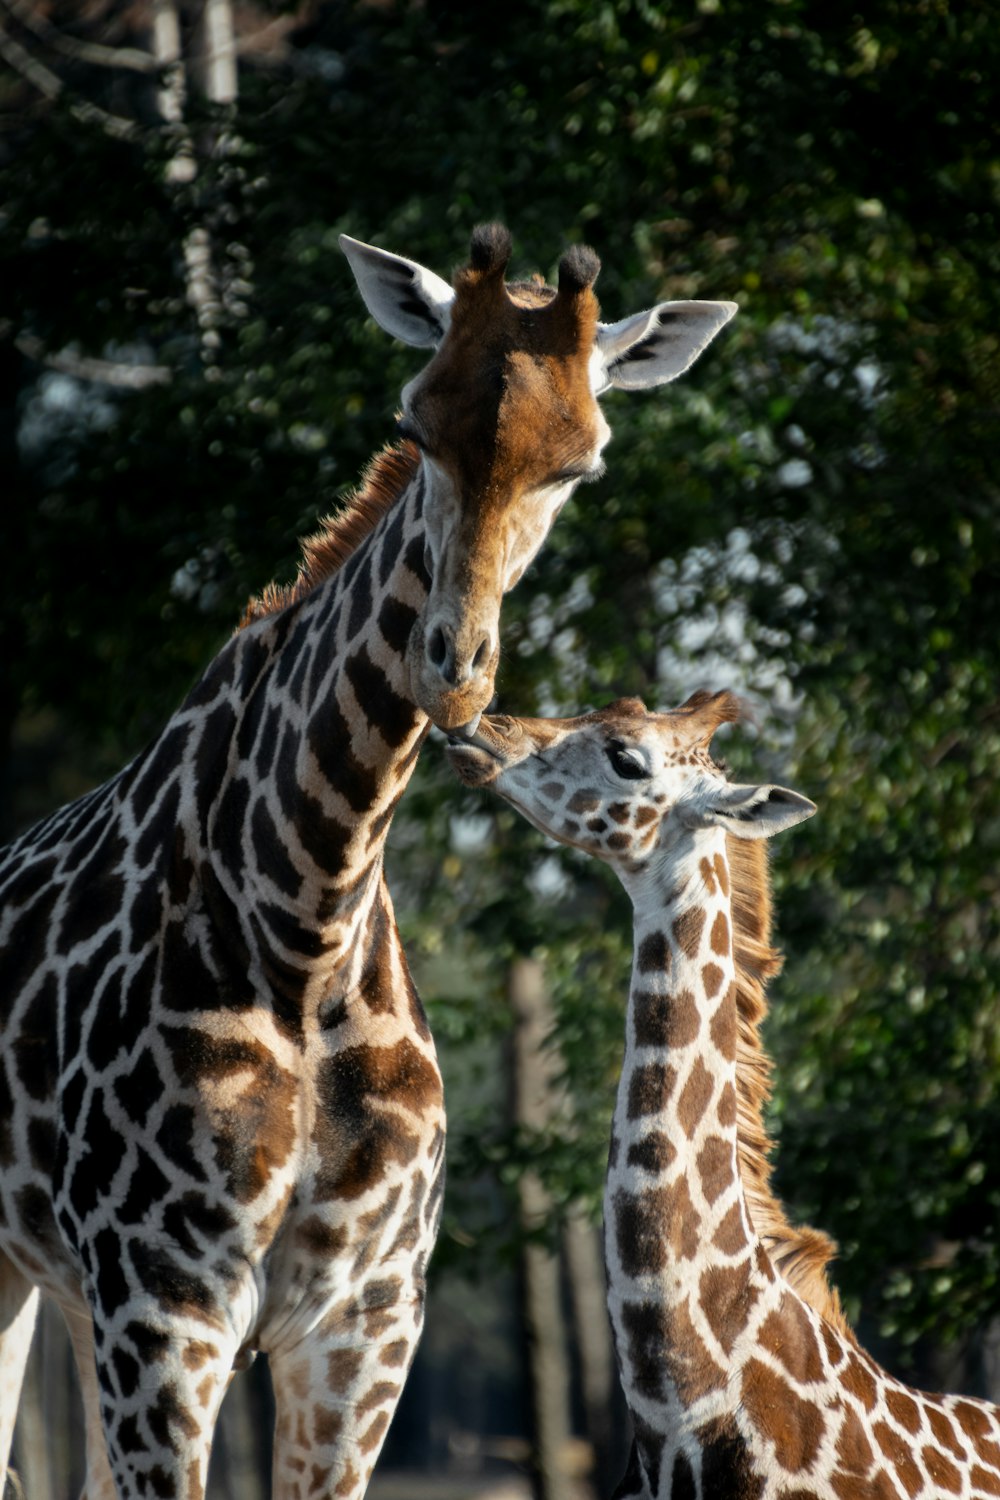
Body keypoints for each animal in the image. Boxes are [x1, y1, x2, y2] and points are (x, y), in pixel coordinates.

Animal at [0, 225, 734, 1500]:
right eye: (413, 422)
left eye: (580, 465)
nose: (454, 667)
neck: (306, 915)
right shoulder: (162, 1303)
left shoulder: (365, 1320)